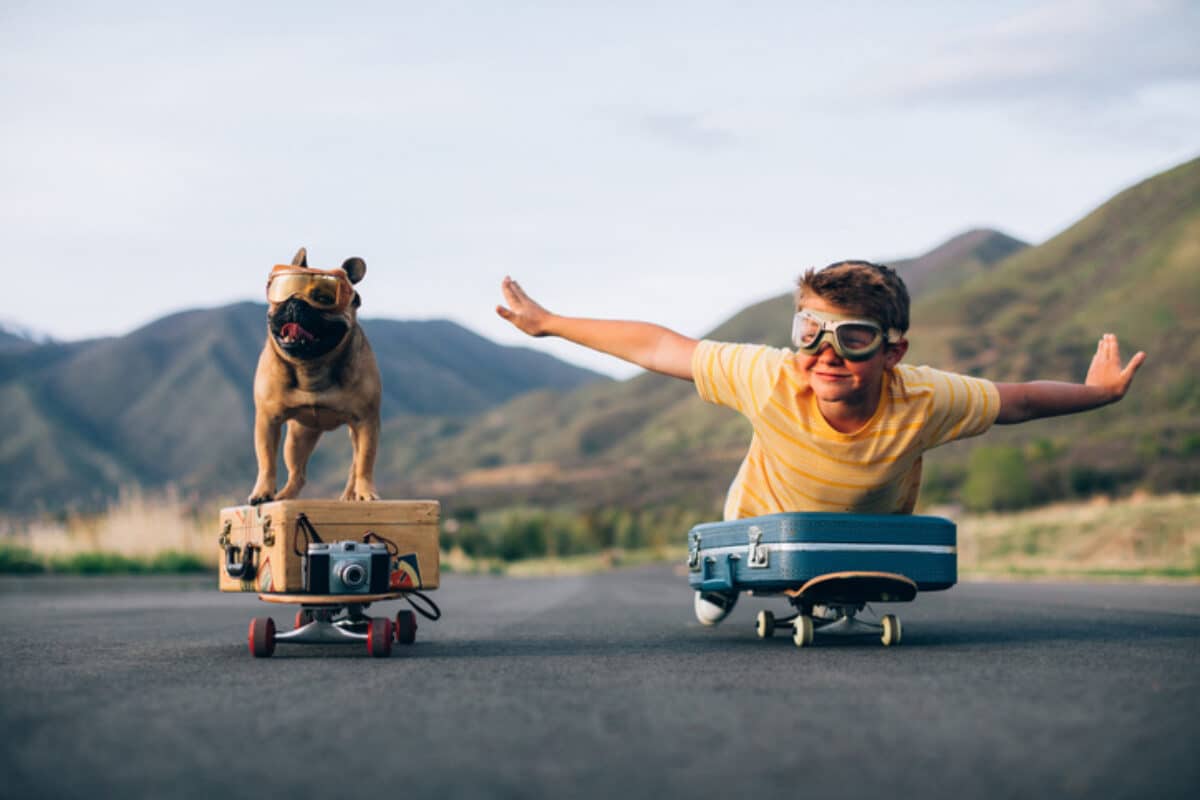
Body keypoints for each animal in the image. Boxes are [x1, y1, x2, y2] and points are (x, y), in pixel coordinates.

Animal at [249, 247, 384, 503]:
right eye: (282, 292)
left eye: (323, 299)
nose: (294, 302)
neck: (311, 365)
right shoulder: (268, 420)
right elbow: (266, 461)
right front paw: (262, 491)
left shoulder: (365, 422)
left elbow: (366, 462)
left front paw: (366, 492)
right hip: (297, 438)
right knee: (298, 474)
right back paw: (283, 496)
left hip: (352, 434)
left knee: (355, 466)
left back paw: (351, 495)